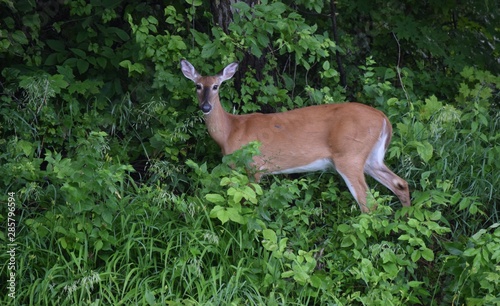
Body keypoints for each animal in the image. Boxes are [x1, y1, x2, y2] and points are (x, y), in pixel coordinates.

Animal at [180, 59, 410, 213]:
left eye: (216, 86)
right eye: (197, 85)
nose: (206, 107)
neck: (231, 131)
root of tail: (384, 119)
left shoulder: (255, 166)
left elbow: (250, 202)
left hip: (350, 156)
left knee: (368, 202)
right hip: (372, 158)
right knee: (400, 183)